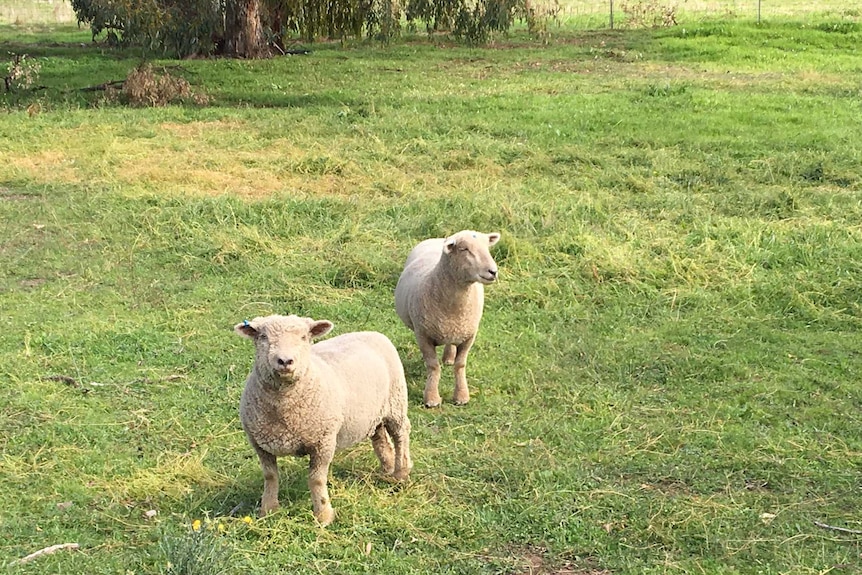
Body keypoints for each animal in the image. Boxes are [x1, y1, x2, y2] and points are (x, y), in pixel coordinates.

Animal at [235, 316, 414, 528]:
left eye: (304, 337)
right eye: (263, 336)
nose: (285, 361)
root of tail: (372, 332)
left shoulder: (324, 441)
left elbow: (316, 480)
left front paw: (323, 515)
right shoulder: (259, 444)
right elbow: (270, 477)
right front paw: (268, 510)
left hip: (396, 402)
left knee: (401, 434)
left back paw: (401, 473)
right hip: (374, 414)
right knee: (380, 439)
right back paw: (386, 469)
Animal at [396, 230, 502, 410]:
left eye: (487, 247)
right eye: (464, 249)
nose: (493, 271)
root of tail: (437, 238)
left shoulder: (469, 335)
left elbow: (460, 365)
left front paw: (461, 396)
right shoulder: (422, 334)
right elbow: (433, 366)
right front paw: (431, 398)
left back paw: (449, 358)